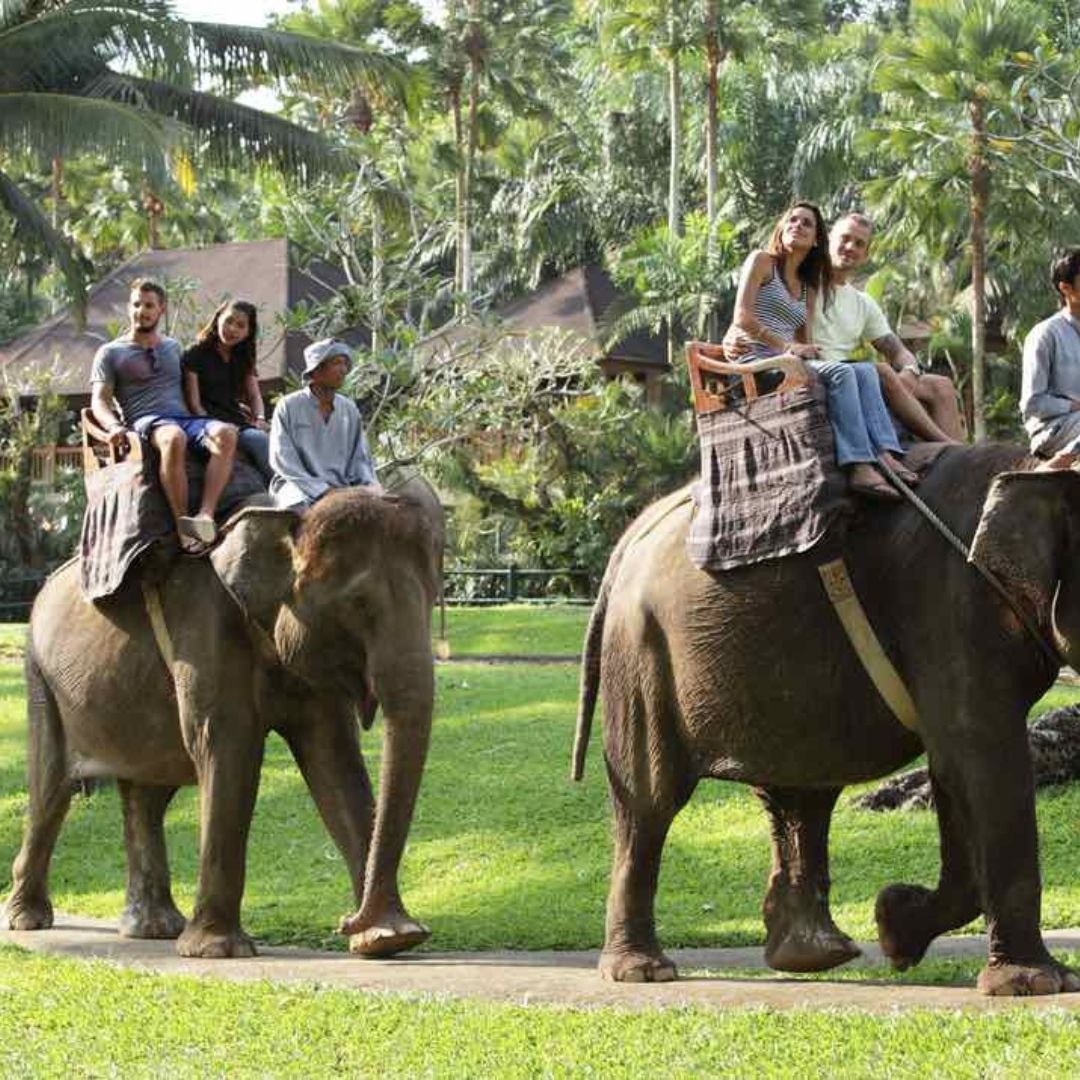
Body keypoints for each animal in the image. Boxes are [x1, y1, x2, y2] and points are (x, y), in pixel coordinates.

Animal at [4, 481, 442, 963]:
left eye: (434, 596)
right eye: (357, 605)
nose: (346, 920)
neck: (286, 522)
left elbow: (334, 763)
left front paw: (389, 938)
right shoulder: (205, 631)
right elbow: (228, 751)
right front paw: (218, 950)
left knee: (147, 792)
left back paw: (153, 928)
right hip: (41, 677)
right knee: (51, 788)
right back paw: (27, 920)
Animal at [570, 442, 1075, 997]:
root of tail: (634, 533)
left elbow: (953, 768)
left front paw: (894, 927)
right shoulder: (953, 609)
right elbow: (980, 758)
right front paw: (1036, 983)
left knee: (803, 788)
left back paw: (811, 955)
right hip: (642, 653)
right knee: (650, 800)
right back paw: (644, 971)